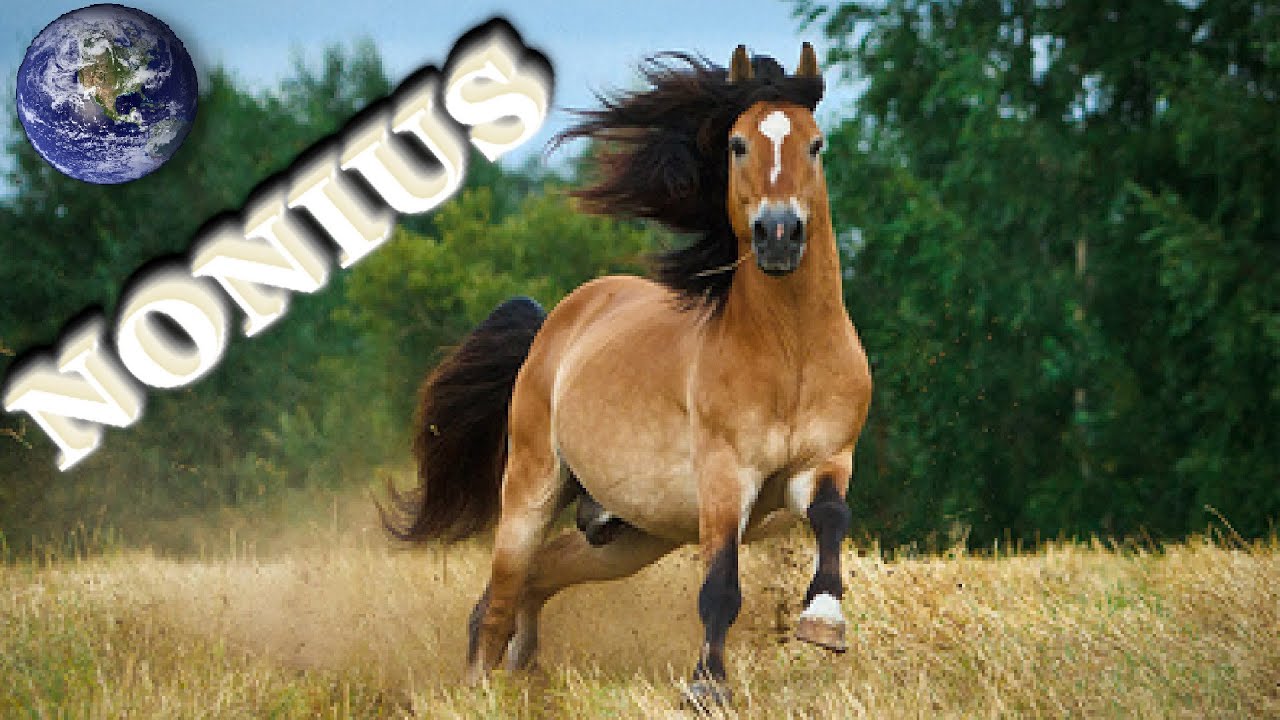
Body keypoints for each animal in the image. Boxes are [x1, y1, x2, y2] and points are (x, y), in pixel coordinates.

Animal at [379, 42, 873, 707]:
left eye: (816, 144)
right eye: (738, 143)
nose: (778, 235)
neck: (790, 350)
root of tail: (554, 325)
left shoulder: (824, 461)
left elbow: (831, 519)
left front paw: (824, 622)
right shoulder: (725, 476)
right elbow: (721, 586)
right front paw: (707, 687)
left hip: (631, 533)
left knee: (542, 574)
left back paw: (524, 667)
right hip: (533, 487)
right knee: (504, 592)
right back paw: (483, 687)